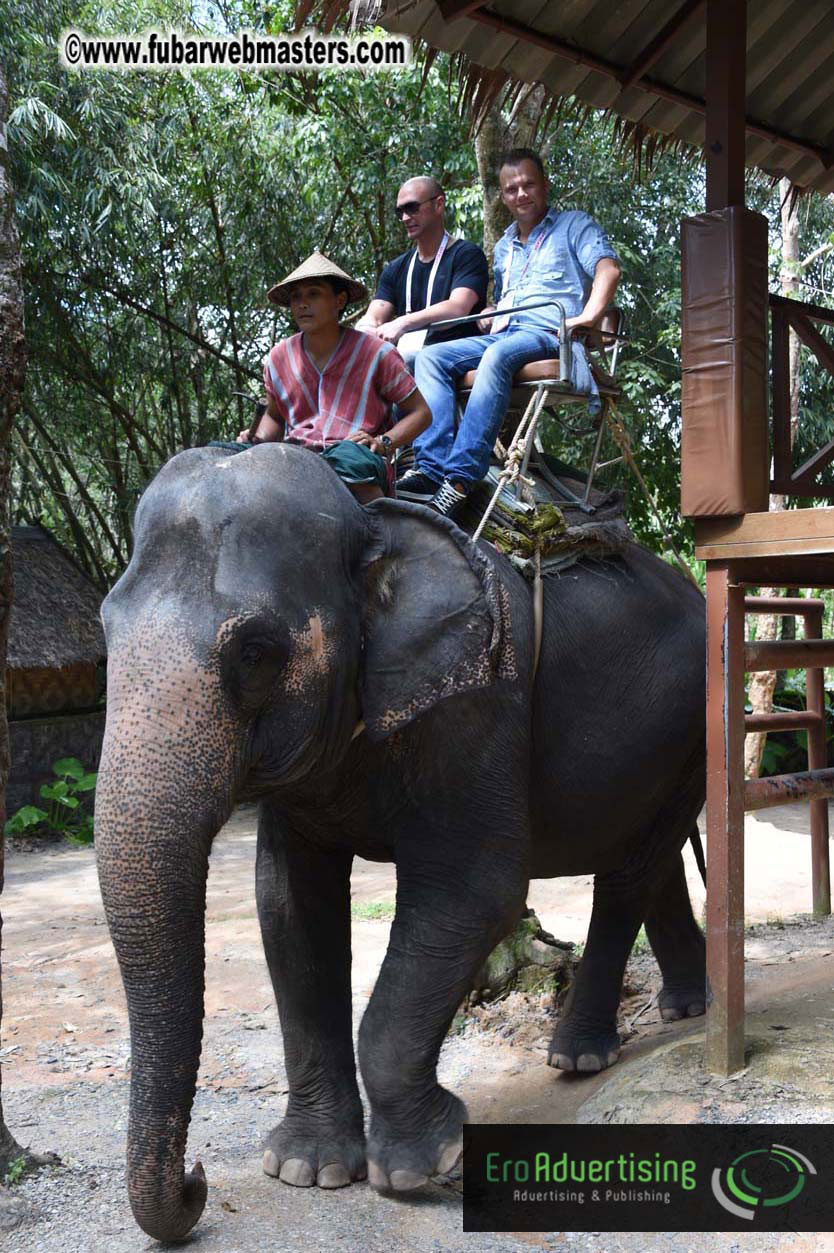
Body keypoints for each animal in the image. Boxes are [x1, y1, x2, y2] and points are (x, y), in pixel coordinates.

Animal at [95, 441, 707, 1242]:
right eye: (103, 630)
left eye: (256, 652)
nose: (198, 1183)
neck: (371, 522)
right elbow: (287, 905)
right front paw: (309, 1170)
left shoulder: (479, 701)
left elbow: (477, 888)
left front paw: (424, 1165)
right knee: (651, 859)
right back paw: (684, 1010)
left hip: (698, 719)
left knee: (630, 873)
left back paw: (579, 1056)